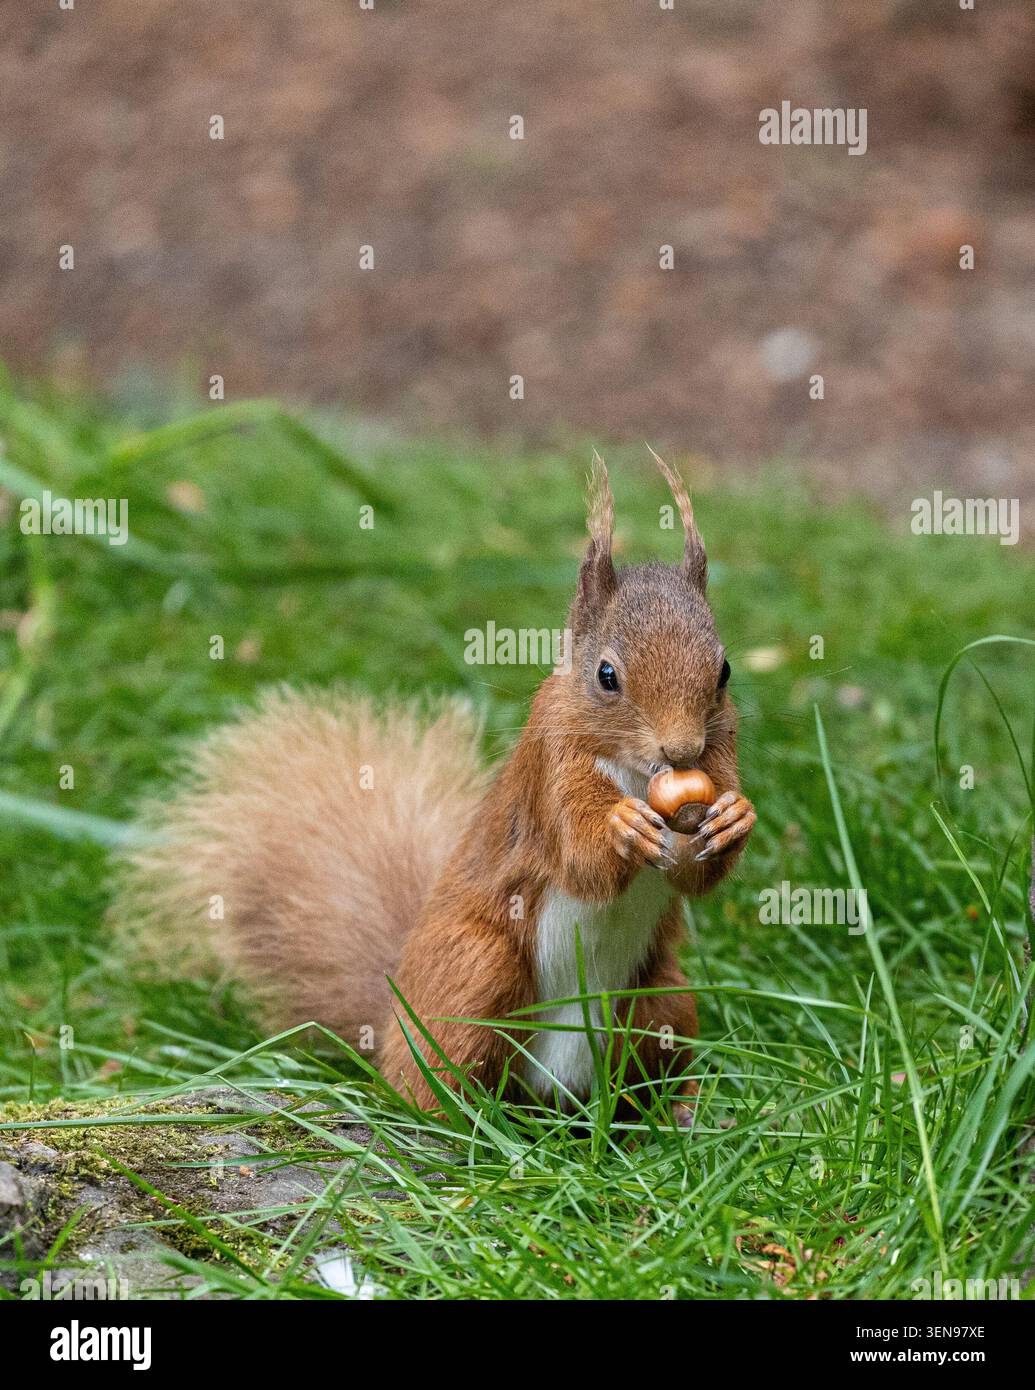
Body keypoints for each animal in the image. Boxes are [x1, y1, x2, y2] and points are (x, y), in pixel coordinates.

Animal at [114, 452, 755, 1122]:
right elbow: (583, 862)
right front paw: (620, 827)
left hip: (663, 999)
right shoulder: (550, 771)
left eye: (723, 671)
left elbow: (693, 872)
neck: (634, 772)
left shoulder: (719, 758)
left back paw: (680, 1112)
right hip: (475, 975)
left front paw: (733, 818)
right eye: (607, 675)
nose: (681, 751)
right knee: (438, 1074)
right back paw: (456, 1123)